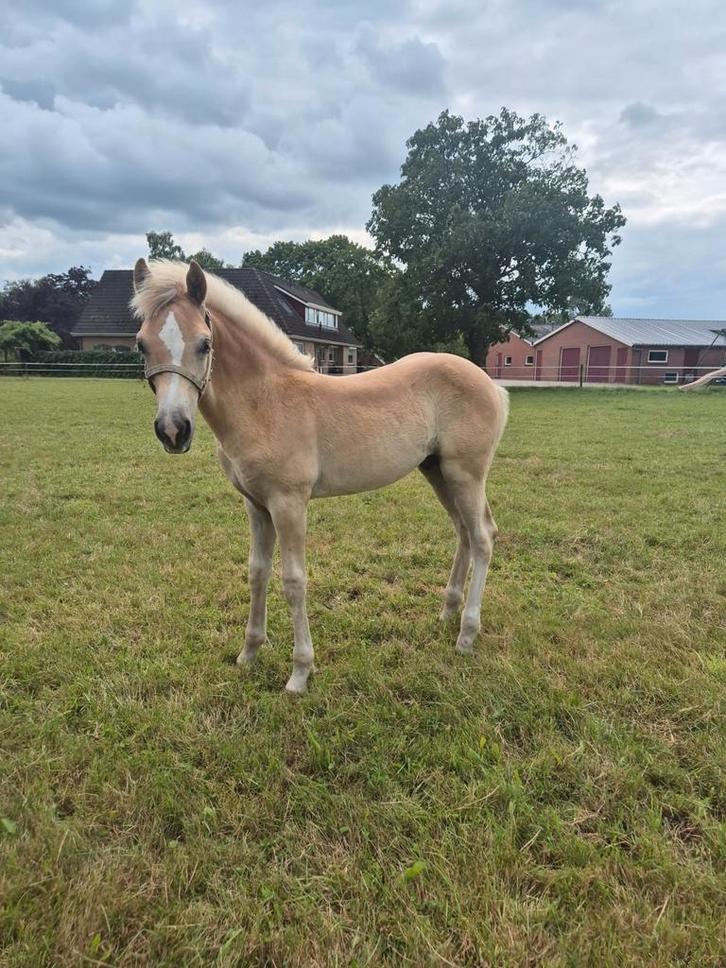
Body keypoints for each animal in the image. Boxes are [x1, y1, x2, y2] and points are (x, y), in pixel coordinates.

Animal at [131, 259, 509, 694]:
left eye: (204, 343)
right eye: (141, 344)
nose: (173, 430)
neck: (265, 403)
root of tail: (492, 386)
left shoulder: (289, 503)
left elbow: (294, 581)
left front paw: (299, 673)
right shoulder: (256, 505)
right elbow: (257, 572)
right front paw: (249, 654)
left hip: (466, 473)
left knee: (482, 537)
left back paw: (466, 634)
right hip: (438, 471)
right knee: (464, 531)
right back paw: (448, 612)